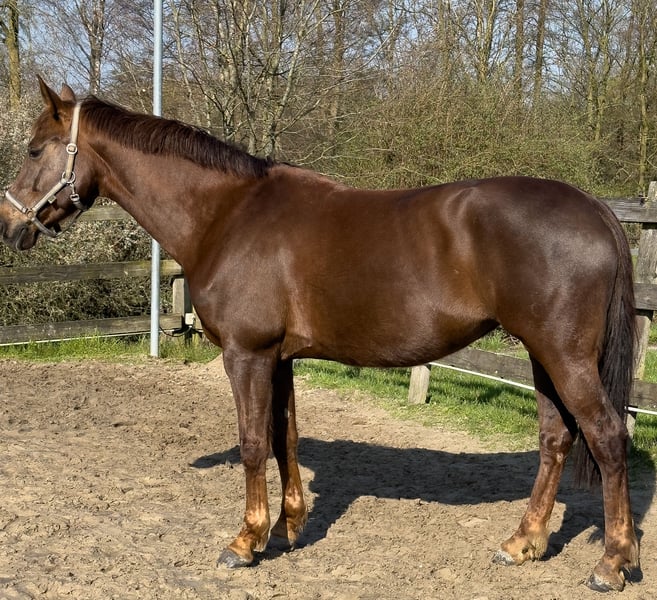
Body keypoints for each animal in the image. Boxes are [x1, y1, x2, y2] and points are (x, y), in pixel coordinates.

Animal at [0, 78, 639, 592]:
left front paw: (244, 542)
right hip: (541, 356)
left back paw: (612, 563)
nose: (9, 225)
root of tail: (596, 209)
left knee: (607, 438)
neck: (227, 215)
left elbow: (254, 442)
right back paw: (523, 543)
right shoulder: (279, 359)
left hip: (564, 356)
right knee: (556, 438)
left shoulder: (247, 356)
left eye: (33, 149)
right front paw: (288, 526)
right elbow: (285, 437)